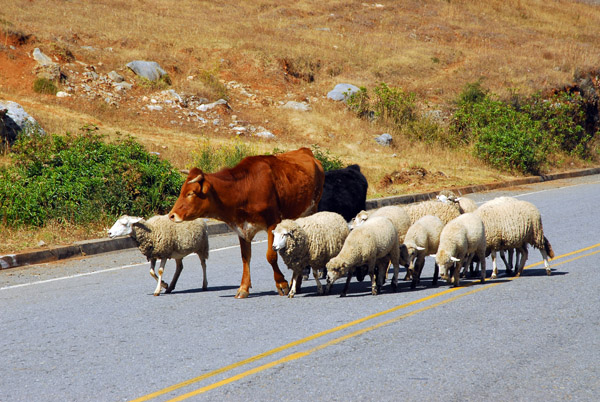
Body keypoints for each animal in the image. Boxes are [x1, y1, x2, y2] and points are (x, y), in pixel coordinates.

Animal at [166, 148, 326, 298]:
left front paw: (282, 284)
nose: (172, 215)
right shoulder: (241, 228)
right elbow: (245, 258)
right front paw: (243, 288)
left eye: (191, 193)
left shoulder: (272, 223)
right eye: (182, 191)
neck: (244, 188)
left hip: (311, 210)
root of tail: (305, 151)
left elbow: (270, 255)